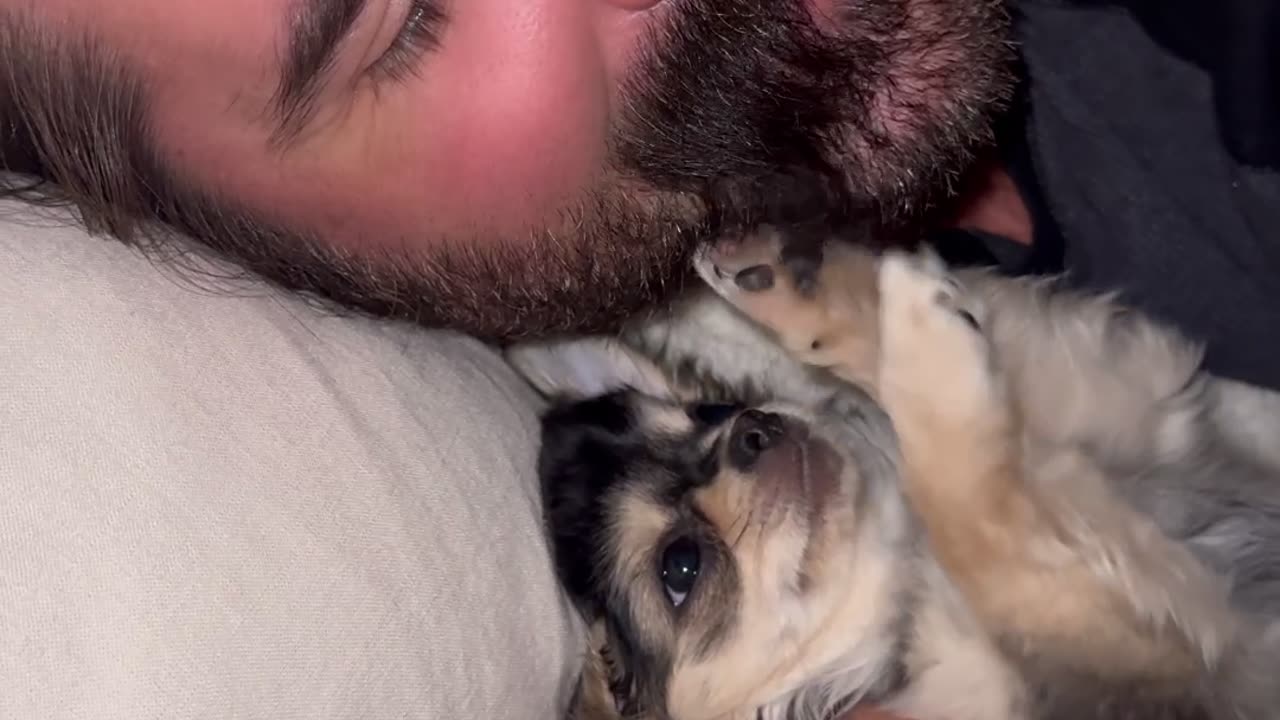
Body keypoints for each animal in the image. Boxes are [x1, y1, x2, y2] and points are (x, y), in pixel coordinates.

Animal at [504, 229, 1280, 717]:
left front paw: (804, 290)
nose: (754, 431)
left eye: (712, 411)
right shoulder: (1161, 655)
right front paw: (922, 334)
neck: (900, 549)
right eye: (681, 568)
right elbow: (973, 510)